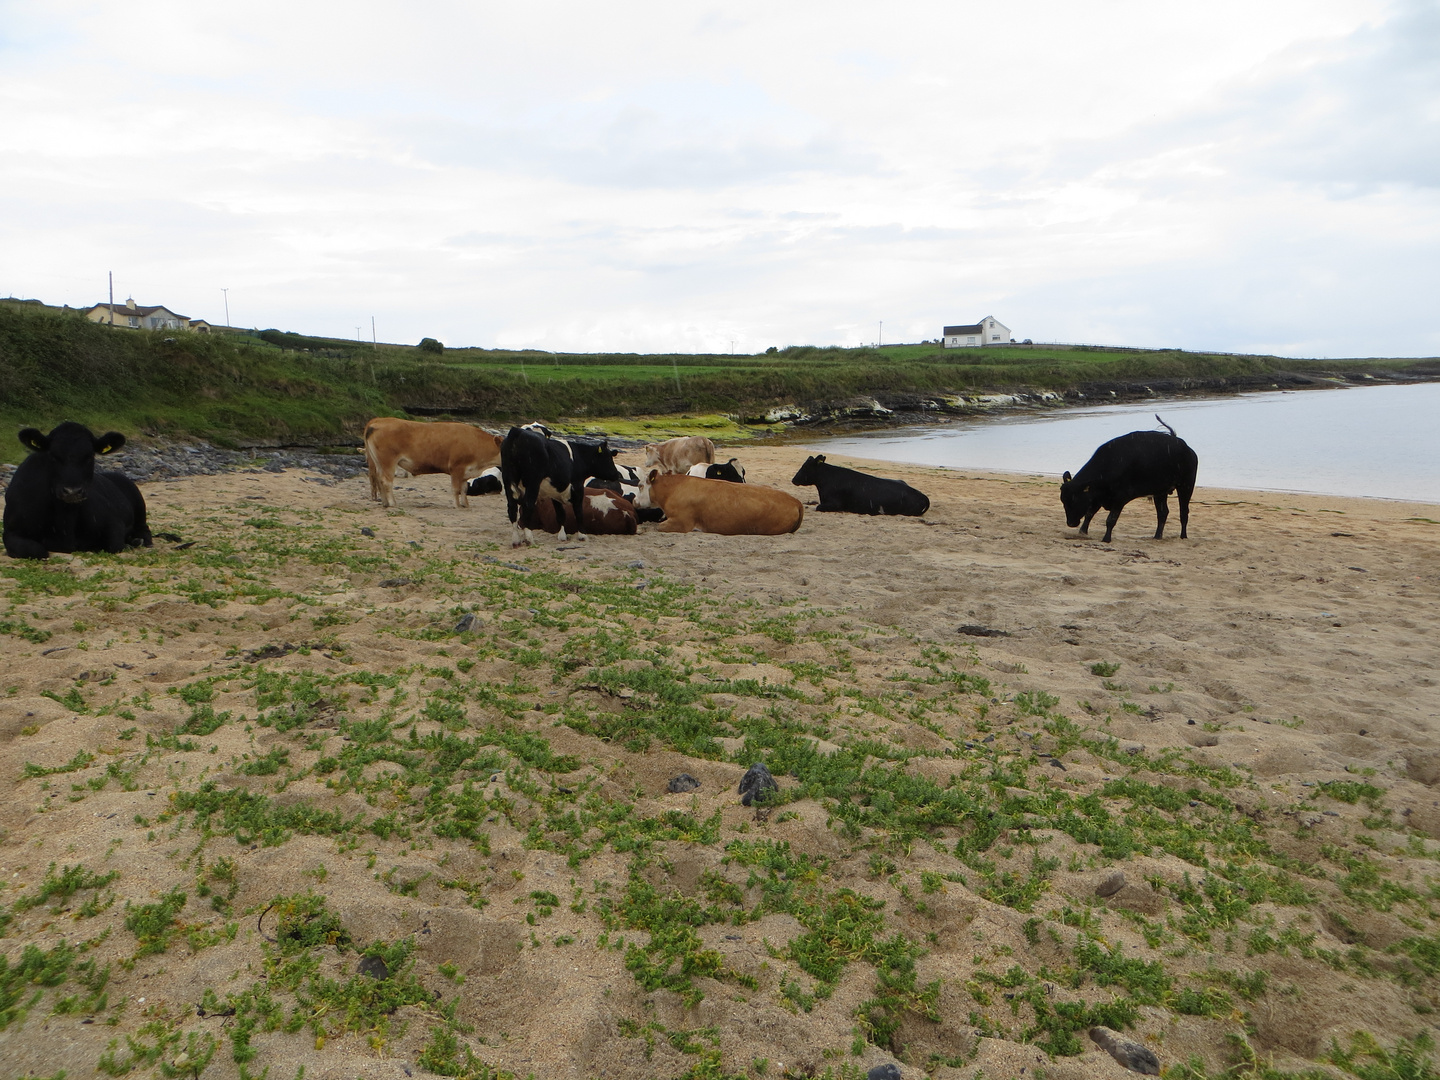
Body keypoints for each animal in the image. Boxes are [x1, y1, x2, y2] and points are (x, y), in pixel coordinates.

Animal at [3, 423, 152, 561]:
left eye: (90, 456)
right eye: (53, 455)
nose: (72, 491)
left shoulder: (113, 521)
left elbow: (115, 545)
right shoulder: (11, 531)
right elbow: (37, 550)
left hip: (139, 504)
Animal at [362, 417, 504, 512]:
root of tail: (378, 420)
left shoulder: (466, 472)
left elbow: (464, 489)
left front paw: (465, 505)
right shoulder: (456, 468)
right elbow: (455, 489)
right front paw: (457, 505)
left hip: (378, 462)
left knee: (378, 479)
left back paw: (385, 503)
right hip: (388, 462)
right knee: (386, 481)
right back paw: (392, 503)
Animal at [636, 475, 806, 538]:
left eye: (640, 485)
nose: (634, 501)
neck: (673, 488)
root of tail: (795, 501)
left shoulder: (682, 522)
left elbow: (658, 527)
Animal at [1065, 417, 1198, 544]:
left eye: (1075, 499)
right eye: (1063, 500)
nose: (1070, 523)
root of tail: (1185, 447)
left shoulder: (1120, 498)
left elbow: (1110, 520)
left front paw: (1106, 539)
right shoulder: (1097, 496)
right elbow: (1089, 513)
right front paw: (1082, 531)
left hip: (1186, 485)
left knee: (1183, 513)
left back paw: (1183, 536)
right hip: (1160, 491)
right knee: (1163, 513)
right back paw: (1157, 536)